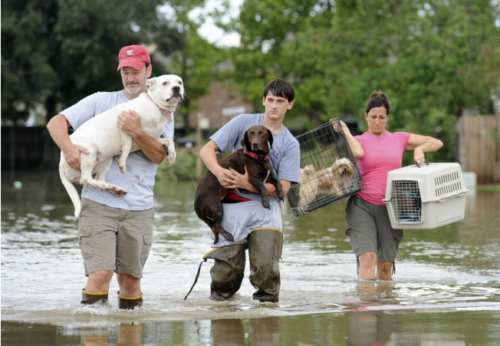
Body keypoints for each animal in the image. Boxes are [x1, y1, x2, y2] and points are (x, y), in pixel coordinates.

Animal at [60, 74, 186, 218]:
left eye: (180, 82)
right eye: (165, 83)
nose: (176, 88)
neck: (155, 106)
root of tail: (60, 162)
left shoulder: (153, 138)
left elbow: (169, 141)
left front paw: (171, 156)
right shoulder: (124, 124)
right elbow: (128, 145)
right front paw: (122, 163)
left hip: (105, 161)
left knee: (97, 178)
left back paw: (112, 187)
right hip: (89, 151)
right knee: (85, 178)